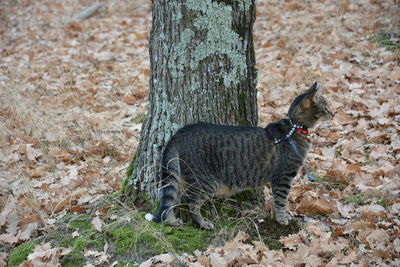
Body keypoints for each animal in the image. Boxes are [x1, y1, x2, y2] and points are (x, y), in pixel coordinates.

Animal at [145, 83, 332, 230]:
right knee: (190, 201)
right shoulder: (284, 176)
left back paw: (171, 221)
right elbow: (280, 200)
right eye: (326, 107)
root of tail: (179, 133)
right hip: (206, 181)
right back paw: (202, 223)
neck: (294, 128)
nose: (333, 113)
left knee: (171, 197)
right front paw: (282, 219)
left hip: (180, 175)